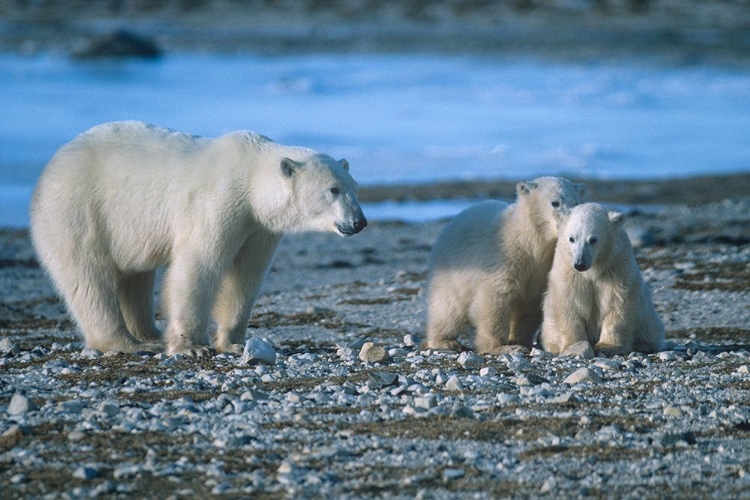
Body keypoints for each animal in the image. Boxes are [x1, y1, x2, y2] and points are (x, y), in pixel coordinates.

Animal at [30, 121, 368, 356]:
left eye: (354, 187)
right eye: (333, 189)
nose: (359, 222)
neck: (250, 174)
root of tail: (49, 169)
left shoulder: (258, 227)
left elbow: (245, 275)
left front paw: (232, 342)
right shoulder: (218, 203)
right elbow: (199, 266)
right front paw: (192, 346)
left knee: (135, 278)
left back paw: (150, 334)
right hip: (79, 211)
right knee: (89, 279)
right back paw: (127, 342)